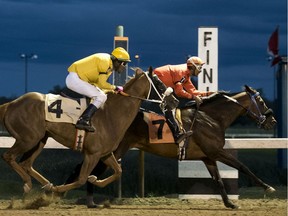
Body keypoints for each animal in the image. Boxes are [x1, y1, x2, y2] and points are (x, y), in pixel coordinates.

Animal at [1, 68, 172, 194]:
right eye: (159, 82)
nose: (174, 100)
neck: (111, 113)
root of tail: (10, 104)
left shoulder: (104, 152)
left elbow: (118, 171)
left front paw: (95, 179)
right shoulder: (92, 154)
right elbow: (82, 179)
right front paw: (59, 190)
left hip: (40, 139)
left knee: (26, 163)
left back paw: (47, 184)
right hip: (28, 139)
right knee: (8, 156)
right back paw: (28, 184)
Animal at [67, 85, 276, 209]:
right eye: (261, 101)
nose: (272, 121)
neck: (212, 118)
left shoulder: (208, 157)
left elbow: (218, 179)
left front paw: (229, 203)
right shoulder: (216, 151)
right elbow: (243, 166)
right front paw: (267, 187)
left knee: (86, 168)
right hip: (114, 149)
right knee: (91, 169)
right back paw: (88, 199)